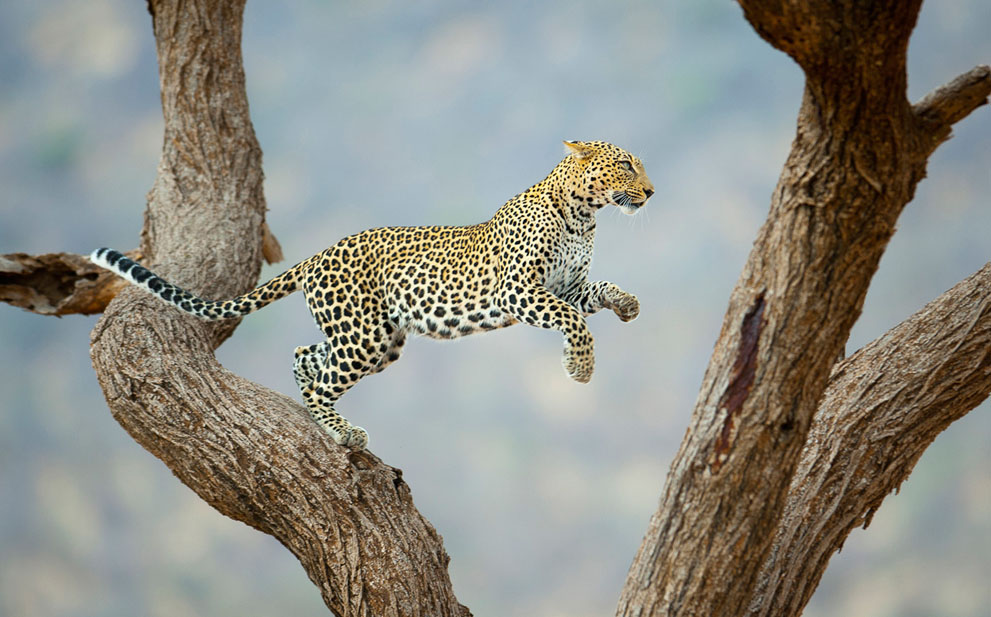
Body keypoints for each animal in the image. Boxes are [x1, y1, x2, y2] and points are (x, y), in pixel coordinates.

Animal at [91, 140, 652, 448]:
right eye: (627, 165)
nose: (650, 191)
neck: (584, 215)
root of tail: (317, 255)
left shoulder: (568, 285)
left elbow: (597, 291)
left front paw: (628, 304)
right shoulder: (519, 290)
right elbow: (573, 322)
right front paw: (580, 367)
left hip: (376, 339)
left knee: (306, 355)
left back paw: (324, 418)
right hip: (361, 336)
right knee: (320, 379)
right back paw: (340, 432)